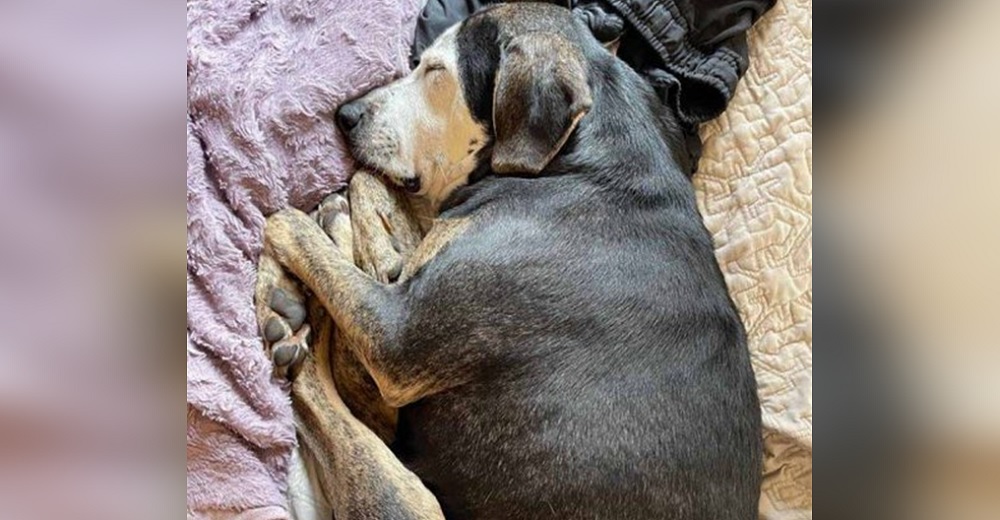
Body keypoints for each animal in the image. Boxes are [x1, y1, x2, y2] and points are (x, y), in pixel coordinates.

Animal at [254, 3, 760, 516]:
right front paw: (373, 240)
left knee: (315, 393)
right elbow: (369, 193)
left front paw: (302, 248)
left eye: (435, 71)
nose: (346, 114)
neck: (581, 162)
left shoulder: (395, 344)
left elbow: (295, 224)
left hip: (401, 493)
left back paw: (286, 309)